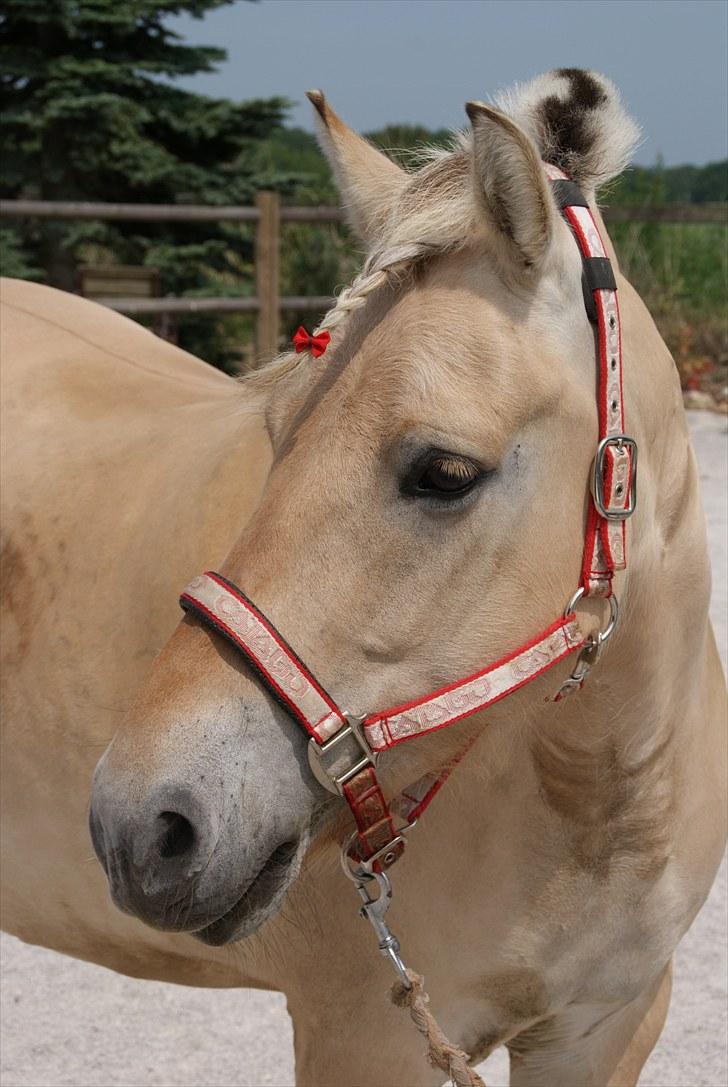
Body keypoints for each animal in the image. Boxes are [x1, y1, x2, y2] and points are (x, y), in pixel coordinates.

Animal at [2, 70, 725, 1087]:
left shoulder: (609, 1025)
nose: (139, 824)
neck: (595, 802)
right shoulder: (370, 1037)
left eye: (446, 471)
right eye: (277, 427)